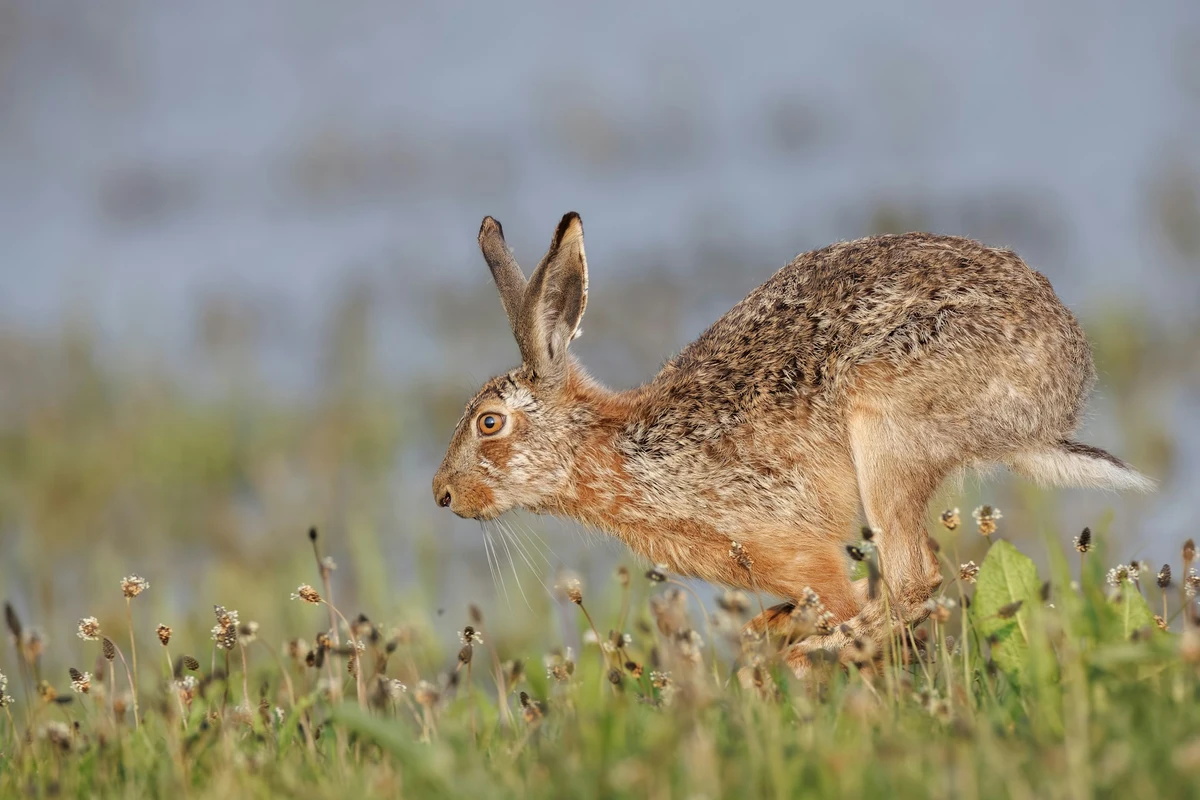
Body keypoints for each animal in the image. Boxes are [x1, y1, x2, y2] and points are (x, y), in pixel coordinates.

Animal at [432, 211, 1153, 673]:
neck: (618, 448)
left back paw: (825, 649)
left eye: (490, 423)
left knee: (913, 578)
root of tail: (1055, 396)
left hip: (886, 421)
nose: (443, 496)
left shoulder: (796, 550)